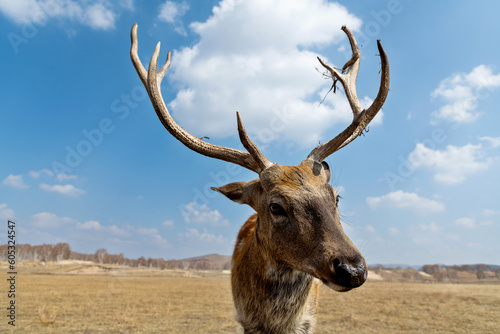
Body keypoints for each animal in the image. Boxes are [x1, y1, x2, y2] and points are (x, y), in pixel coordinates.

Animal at [131, 23, 388, 334]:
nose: (353, 269)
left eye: (335, 197)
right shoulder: (246, 320)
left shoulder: (309, 322)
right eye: (275, 206)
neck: (276, 323)